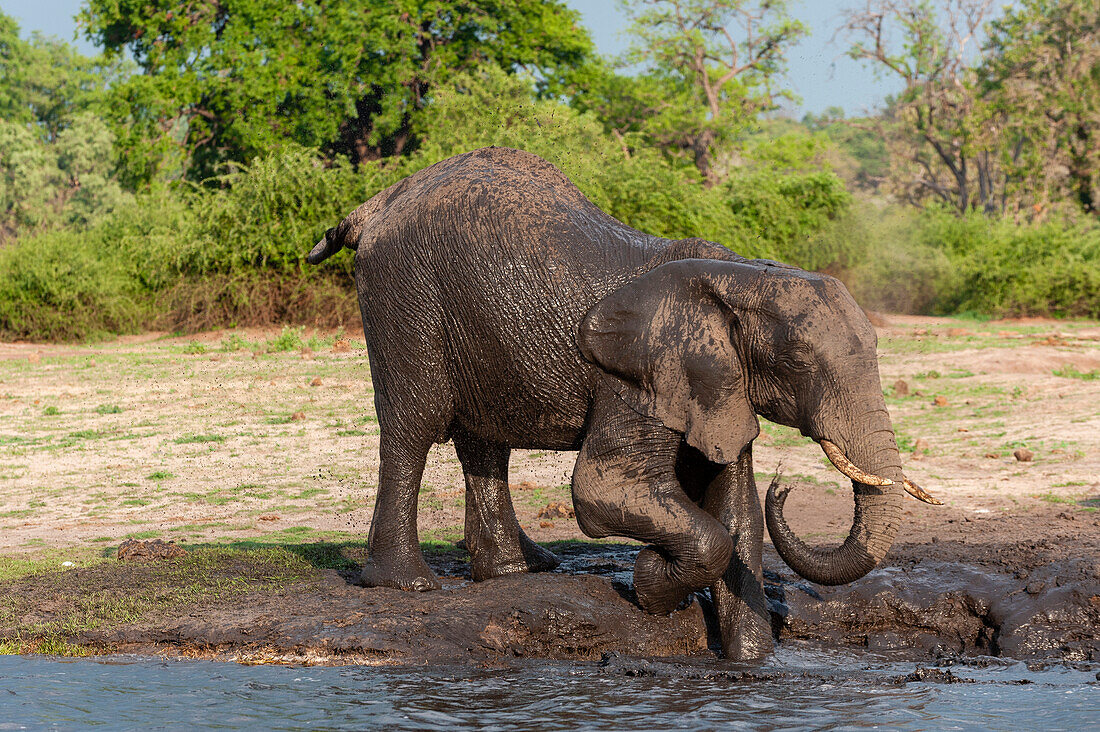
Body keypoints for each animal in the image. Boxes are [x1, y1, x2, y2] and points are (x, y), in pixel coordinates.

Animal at [305, 145, 941, 660]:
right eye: (804, 363)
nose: (785, 487)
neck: (738, 278)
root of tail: (377, 203)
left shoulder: (719, 384)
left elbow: (736, 513)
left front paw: (749, 666)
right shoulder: (637, 376)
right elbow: (604, 491)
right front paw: (653, 583)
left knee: (483, 441)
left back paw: (517, 570)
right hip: (404, 294)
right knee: (414, 426)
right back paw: (408, 584)